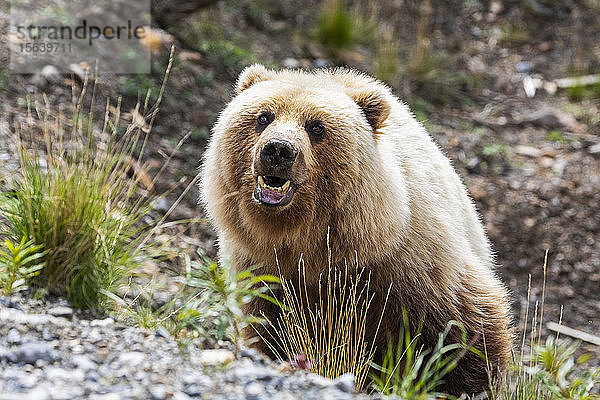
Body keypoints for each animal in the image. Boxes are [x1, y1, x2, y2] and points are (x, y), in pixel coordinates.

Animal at [200, 64, 510, 396]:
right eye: (263, 117)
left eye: (316, 127)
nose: (279, 150)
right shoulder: (262, 268)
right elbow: (275, 332)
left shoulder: (412, 260)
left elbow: (465, 328)